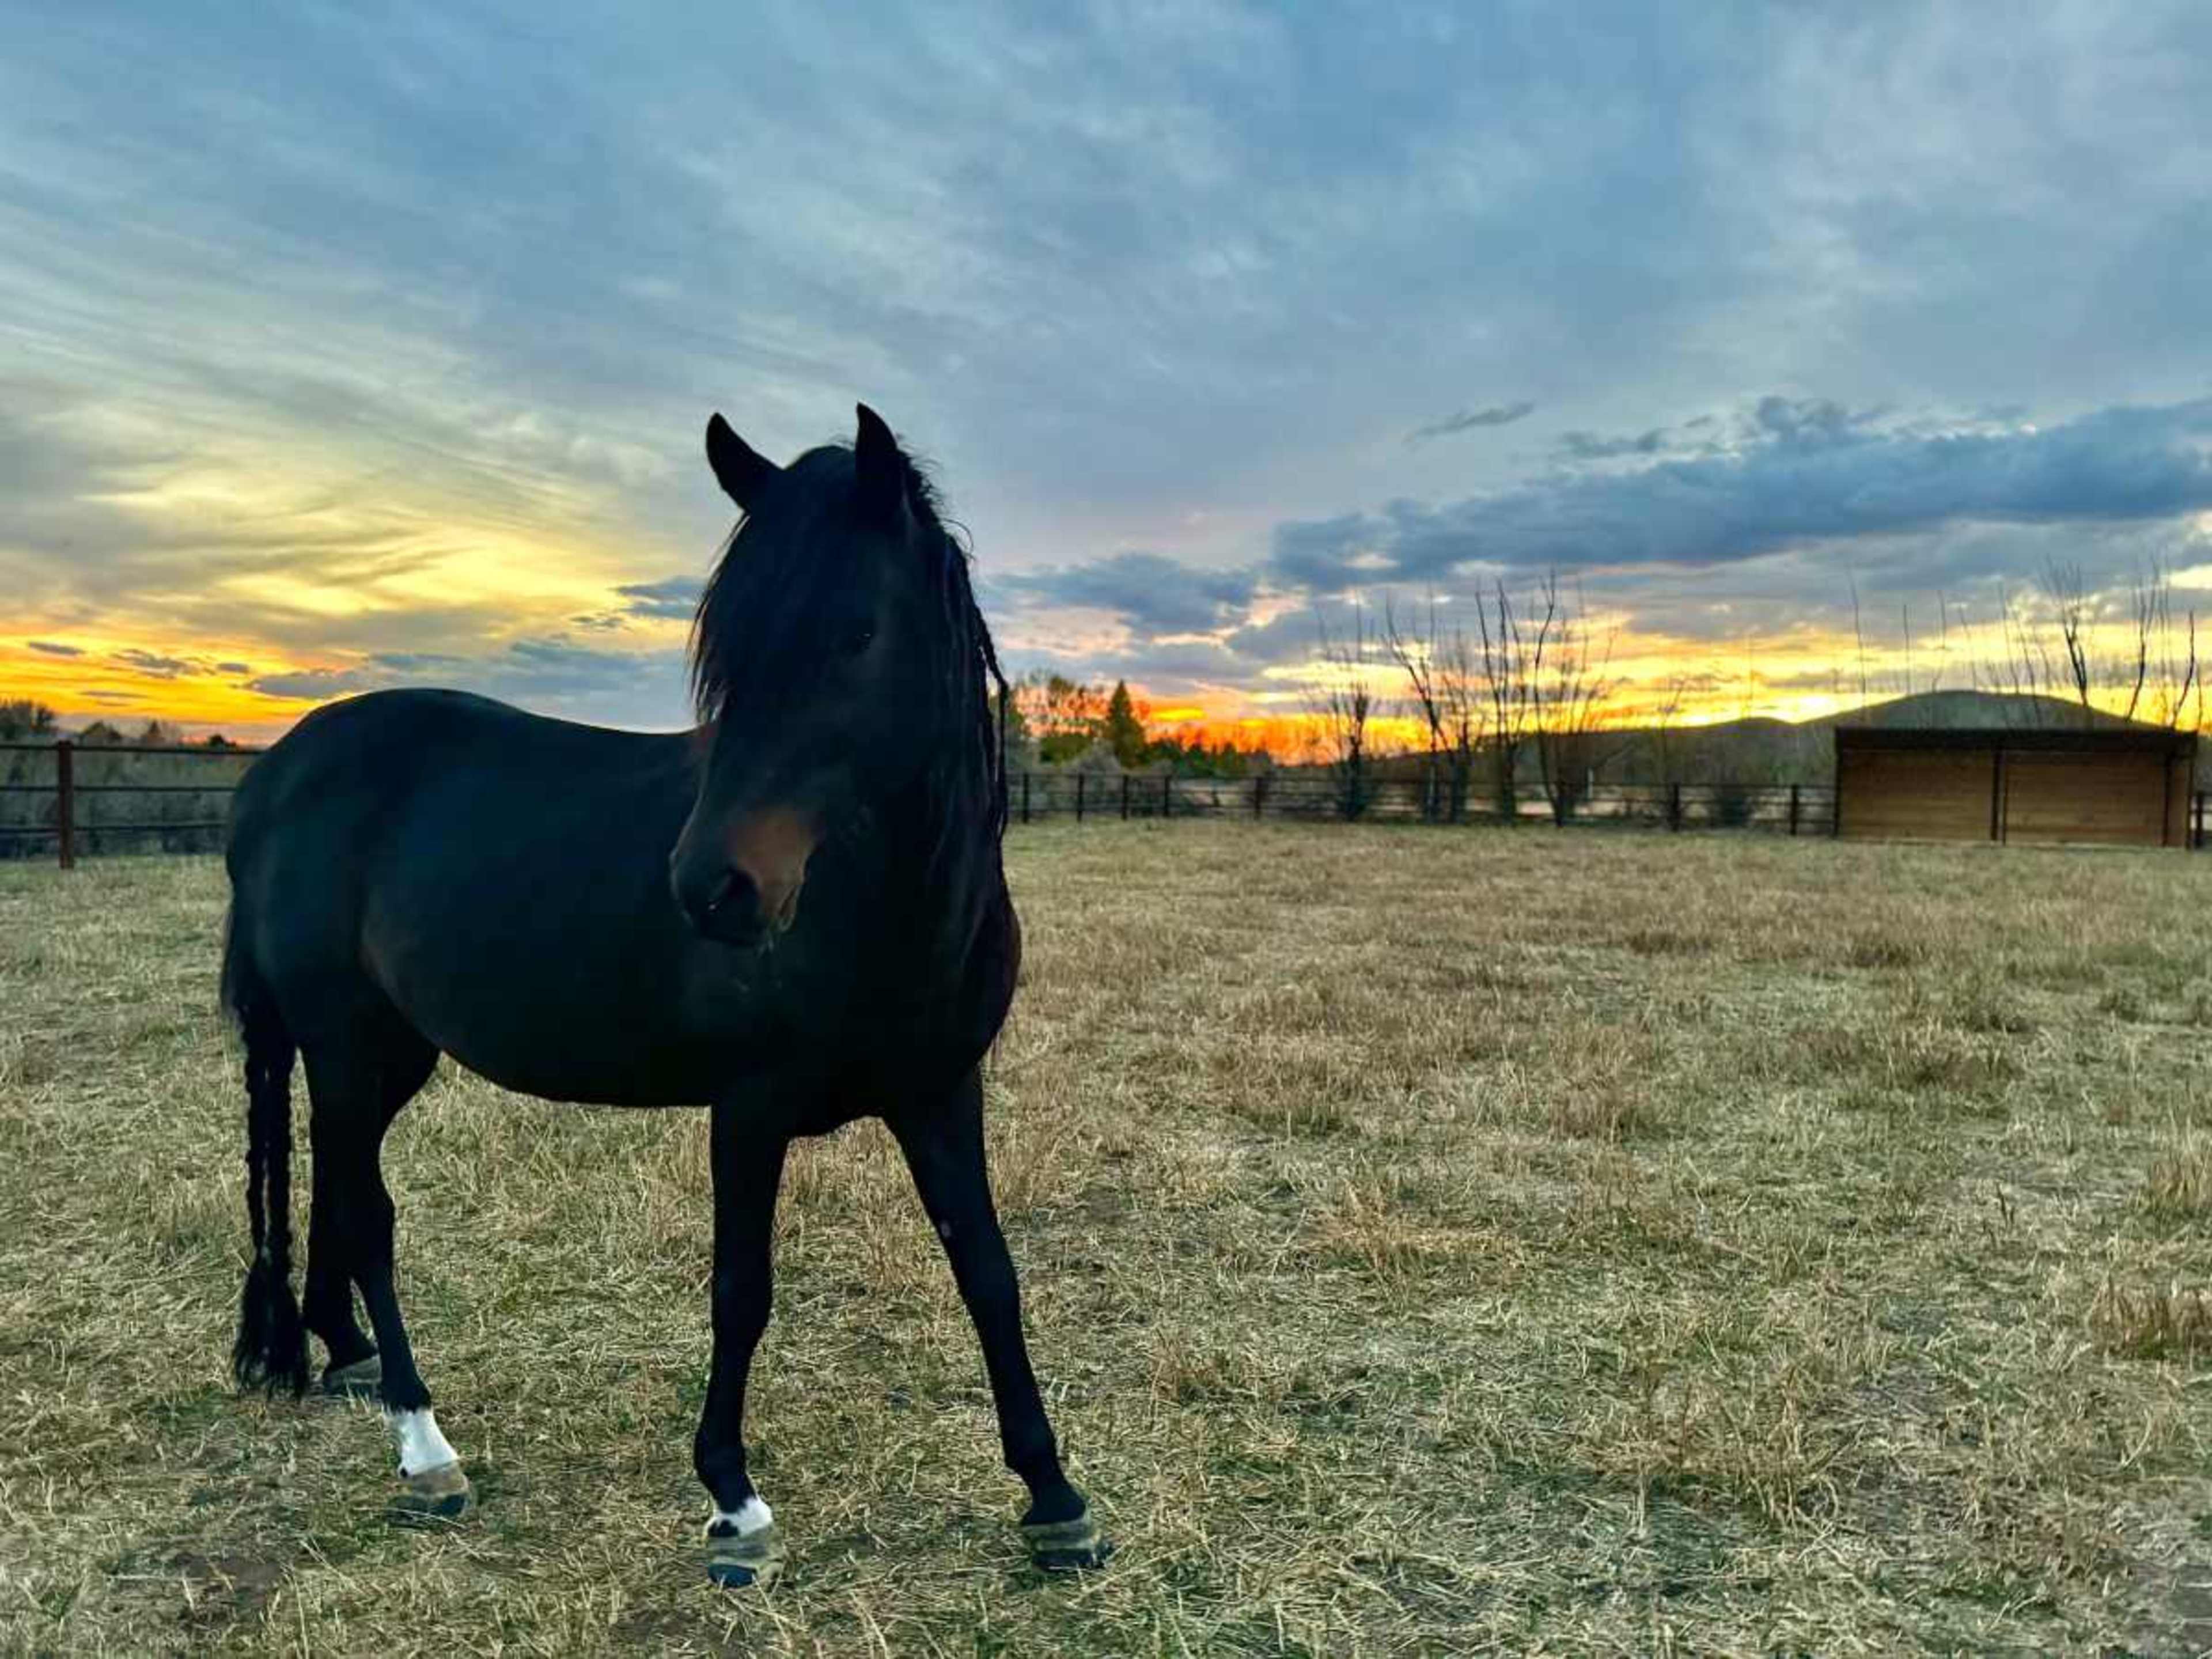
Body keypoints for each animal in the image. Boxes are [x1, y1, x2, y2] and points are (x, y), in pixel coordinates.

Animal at [220, 404, 1109, 1585]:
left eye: (856, 634)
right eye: (726, 651)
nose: (712, 888)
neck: (882, 910)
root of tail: (274, 774)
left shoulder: (939, 1094)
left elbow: (990, 1276)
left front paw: (1055, 1499)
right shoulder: (750, 1111)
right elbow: (743, 1292)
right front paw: (735, 1505)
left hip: (387, 1054)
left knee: (336, 1182)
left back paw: (349, 1357)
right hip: (345, 1041)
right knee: (367, 1213)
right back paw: (426, 1448)